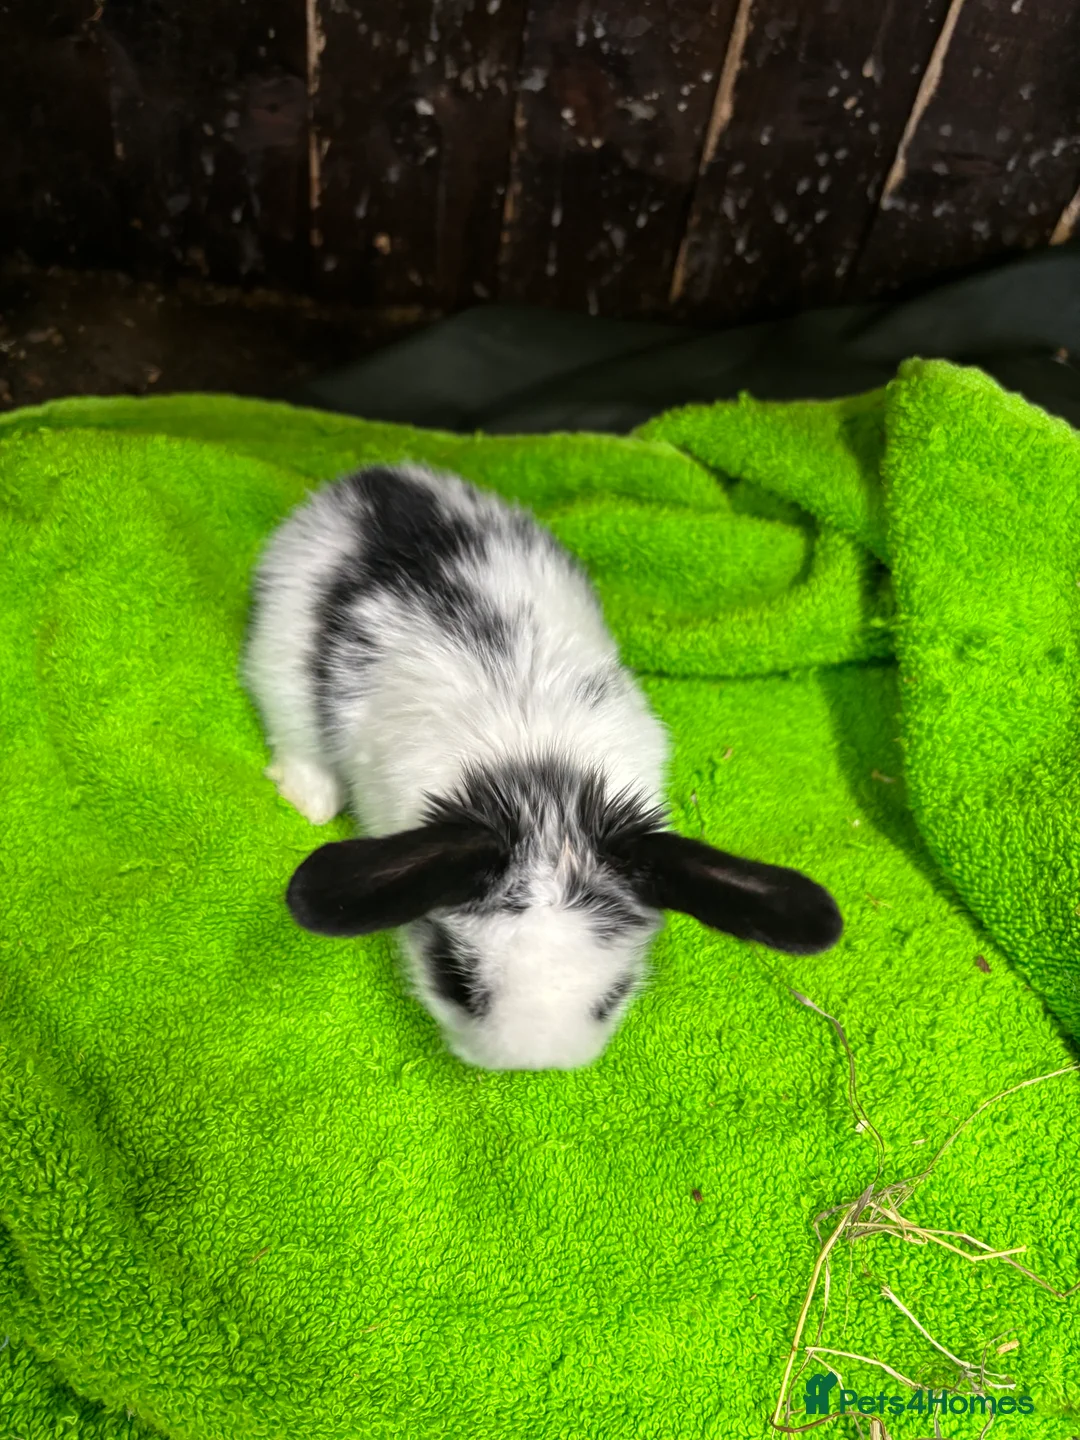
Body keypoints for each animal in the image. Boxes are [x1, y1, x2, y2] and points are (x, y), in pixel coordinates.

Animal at [242, 461, 843, 1071]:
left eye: (614, 993)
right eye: (455, 977)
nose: (533, 1063)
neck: (542, 789)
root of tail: (377, 478)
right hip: (280, 659)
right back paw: (314, 801)